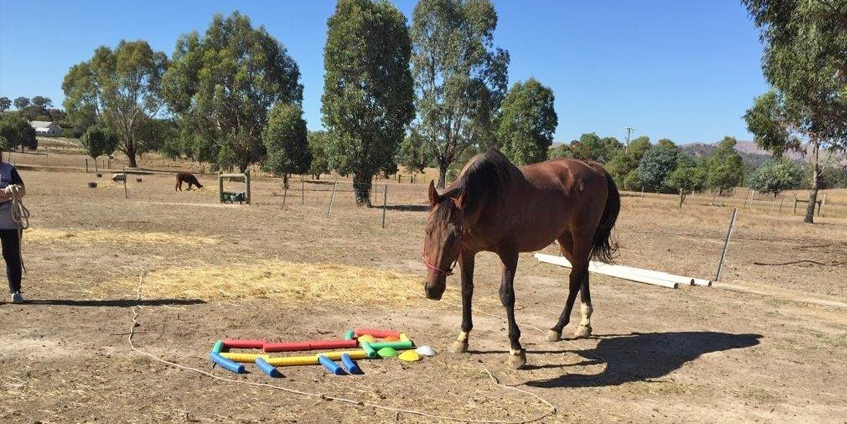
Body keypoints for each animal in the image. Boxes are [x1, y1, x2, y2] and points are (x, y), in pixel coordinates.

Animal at [422, 148, 620, 369]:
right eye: (428, 230)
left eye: (455, 235)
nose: (432, 290)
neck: (489, 194)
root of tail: (593, 168)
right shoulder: (467, 252)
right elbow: (467, 290)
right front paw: (462, 338)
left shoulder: (508, 253)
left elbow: (507, 295)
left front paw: (516, 350)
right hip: (567, 239)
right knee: (582, 270)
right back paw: (584, 324)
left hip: (582, 236)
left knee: (575, 278)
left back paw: (558, 327)